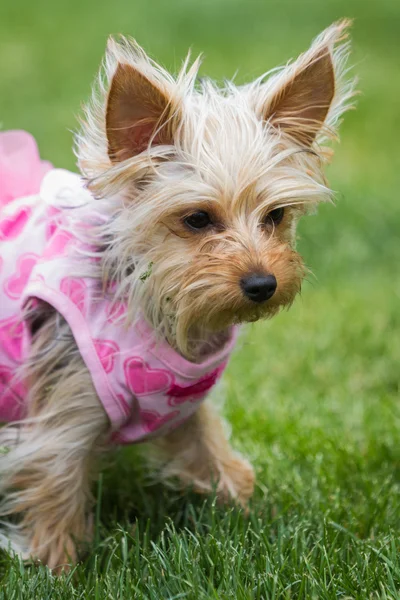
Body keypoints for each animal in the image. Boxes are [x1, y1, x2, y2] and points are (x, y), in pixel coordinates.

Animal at [0, 19, 356, 572]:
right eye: (196, 219)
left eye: (276, 216)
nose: (263, 284)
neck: (162, 311)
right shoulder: (64, 408)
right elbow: (55, 484)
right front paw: (55, 569)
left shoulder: (188, 410)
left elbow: (221, 466)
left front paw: (257, 520)